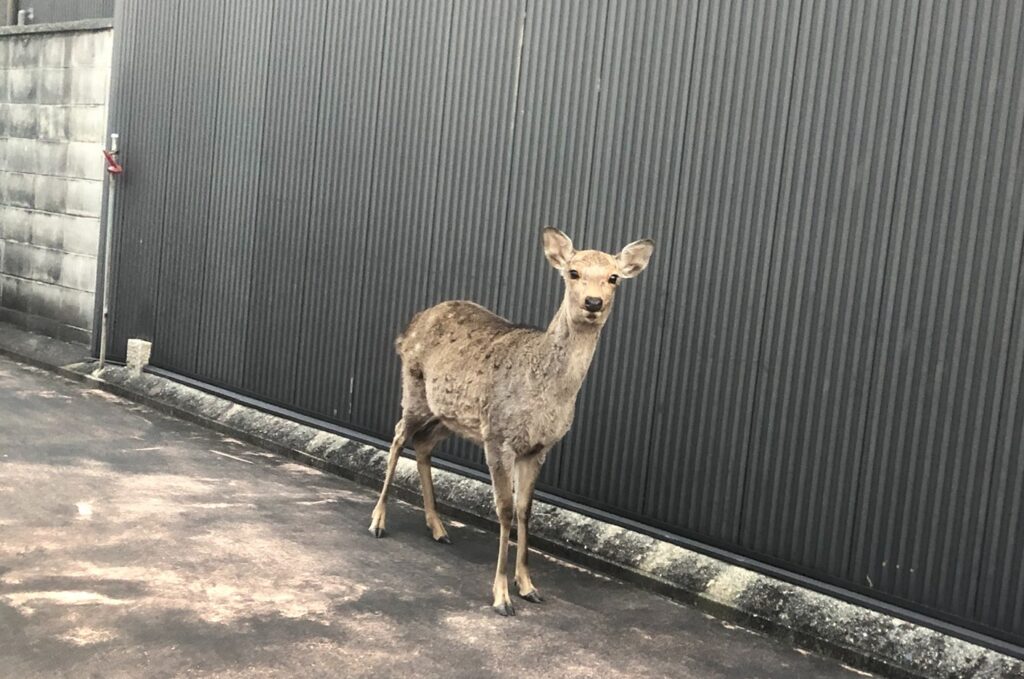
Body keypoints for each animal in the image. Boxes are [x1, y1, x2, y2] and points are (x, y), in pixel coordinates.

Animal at [369, 227, 654, 615]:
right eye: (573, 272)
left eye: (613, 277)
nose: (593, 303)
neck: (547, 392)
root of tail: (409, 325)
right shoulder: (498, 436)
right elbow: (503, 510)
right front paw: (501, 596)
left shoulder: (538, 447)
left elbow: (525, 510)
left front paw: (529, 586)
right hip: (414, 388)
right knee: (398, 436)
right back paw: (378, 521)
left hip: (449, 414)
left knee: (422, 444)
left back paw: (438, 527)